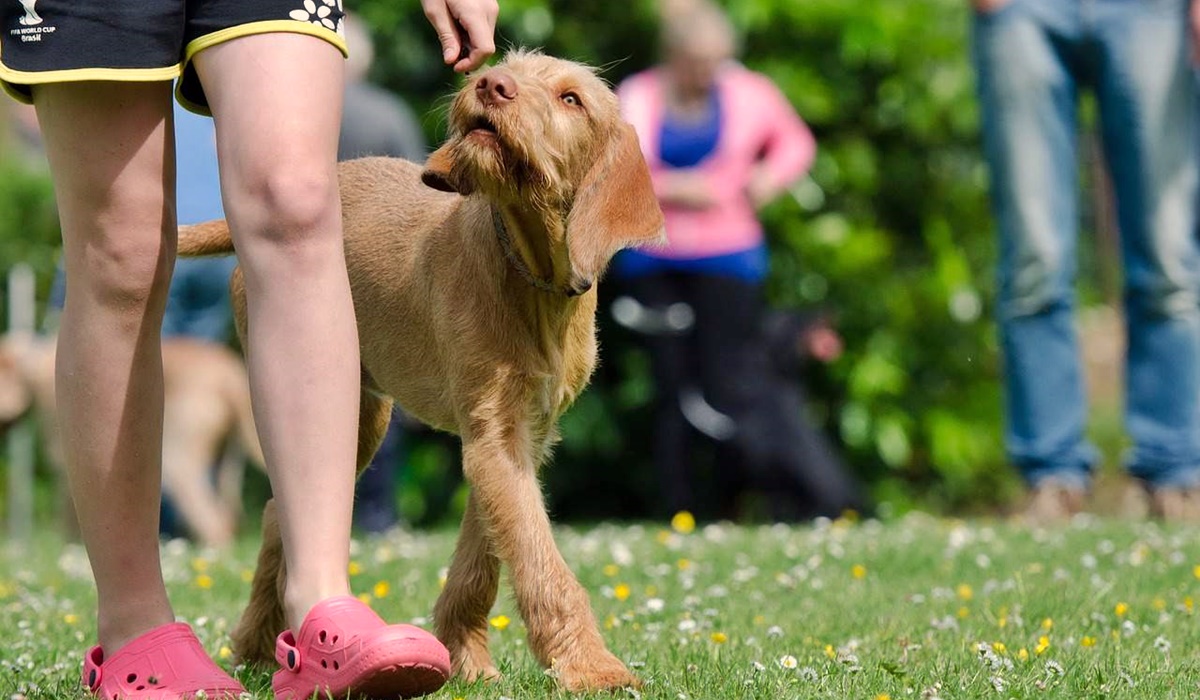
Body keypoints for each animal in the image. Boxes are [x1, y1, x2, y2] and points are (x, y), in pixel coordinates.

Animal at [0, 333, 264, 547]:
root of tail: (229, 377)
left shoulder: (67, 466)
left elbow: (69, 518)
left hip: (178, 462)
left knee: (213, 522)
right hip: (227, 462)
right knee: (226, 515)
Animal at [177, 51, 667, 691]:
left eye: (571, 99)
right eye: (510, 67)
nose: (490, 83)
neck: (531, 274)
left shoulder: (516, 438)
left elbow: (485, 556)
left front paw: (466, 658)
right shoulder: (493, 435)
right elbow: (539, 558)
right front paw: (592, 666)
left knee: (276, 514)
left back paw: (260, 644)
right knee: (276, 513)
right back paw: (260, 646)